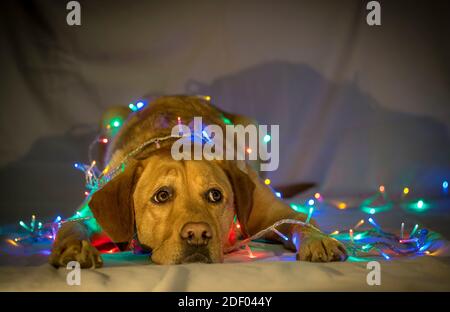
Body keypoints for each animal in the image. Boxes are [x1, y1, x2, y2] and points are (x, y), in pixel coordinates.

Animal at [48, 95, 348, 268]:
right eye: (162, 196)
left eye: (216, 196)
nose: (197, 234)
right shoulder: (88, 214)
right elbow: (71, 227)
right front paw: (74, 248)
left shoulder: (277, 212)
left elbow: (301, 222)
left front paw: (318, 241)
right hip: (111, 114)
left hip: (252, 125)